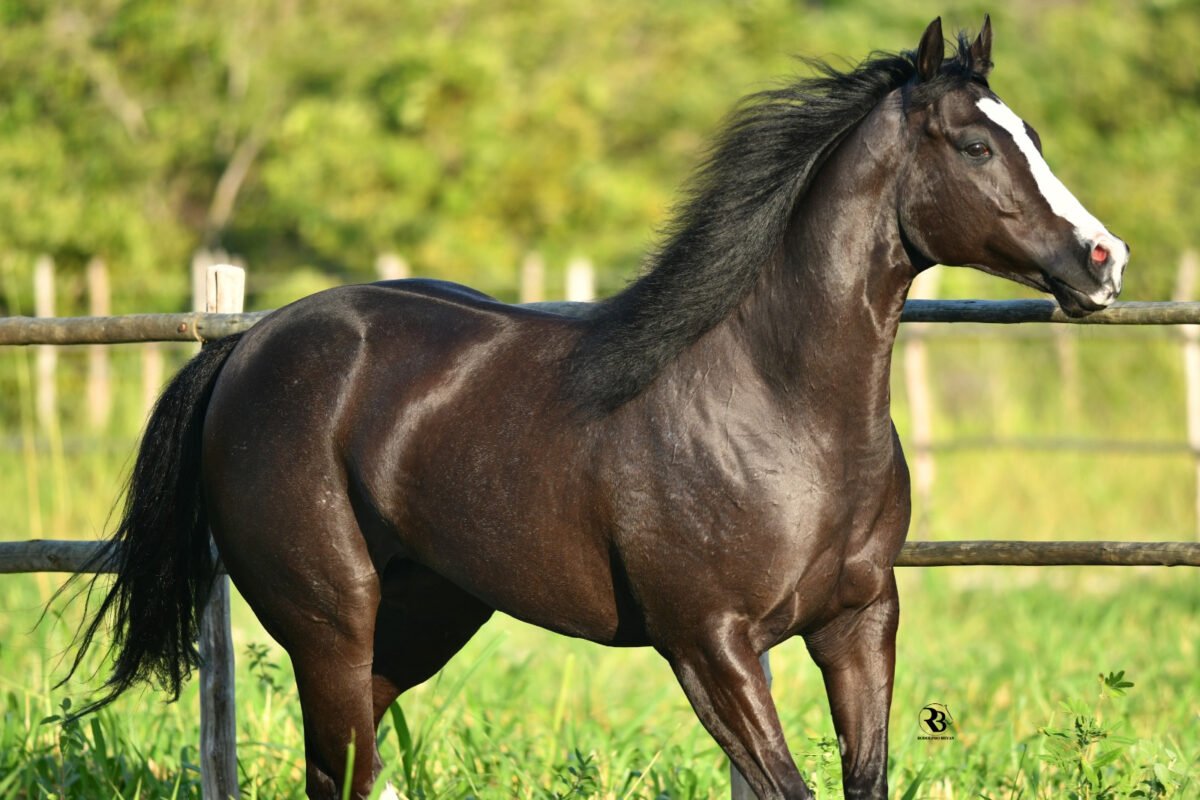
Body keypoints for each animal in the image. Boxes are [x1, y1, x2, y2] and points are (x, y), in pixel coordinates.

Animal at [65, 14, 1128, 800]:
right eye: (976, 144)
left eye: (1033, 137)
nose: (1104, 262)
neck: (781, 412)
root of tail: (249, 347)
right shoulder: (709, 645)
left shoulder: (860, 622)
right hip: (327, 623)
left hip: (419, 618)